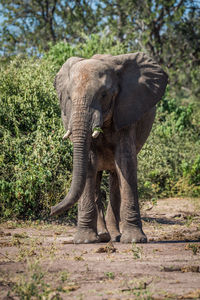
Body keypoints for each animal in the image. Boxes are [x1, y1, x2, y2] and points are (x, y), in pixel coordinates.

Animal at [50, 51, 167, 244]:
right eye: (69, 98)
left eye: (104, 95)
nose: (52, 209)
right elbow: (89, 162)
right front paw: (84, 241)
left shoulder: (127, 111)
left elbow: (125, 161)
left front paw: (134, 240)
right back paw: (103, 236)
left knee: (115, 178)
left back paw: (114, 236)